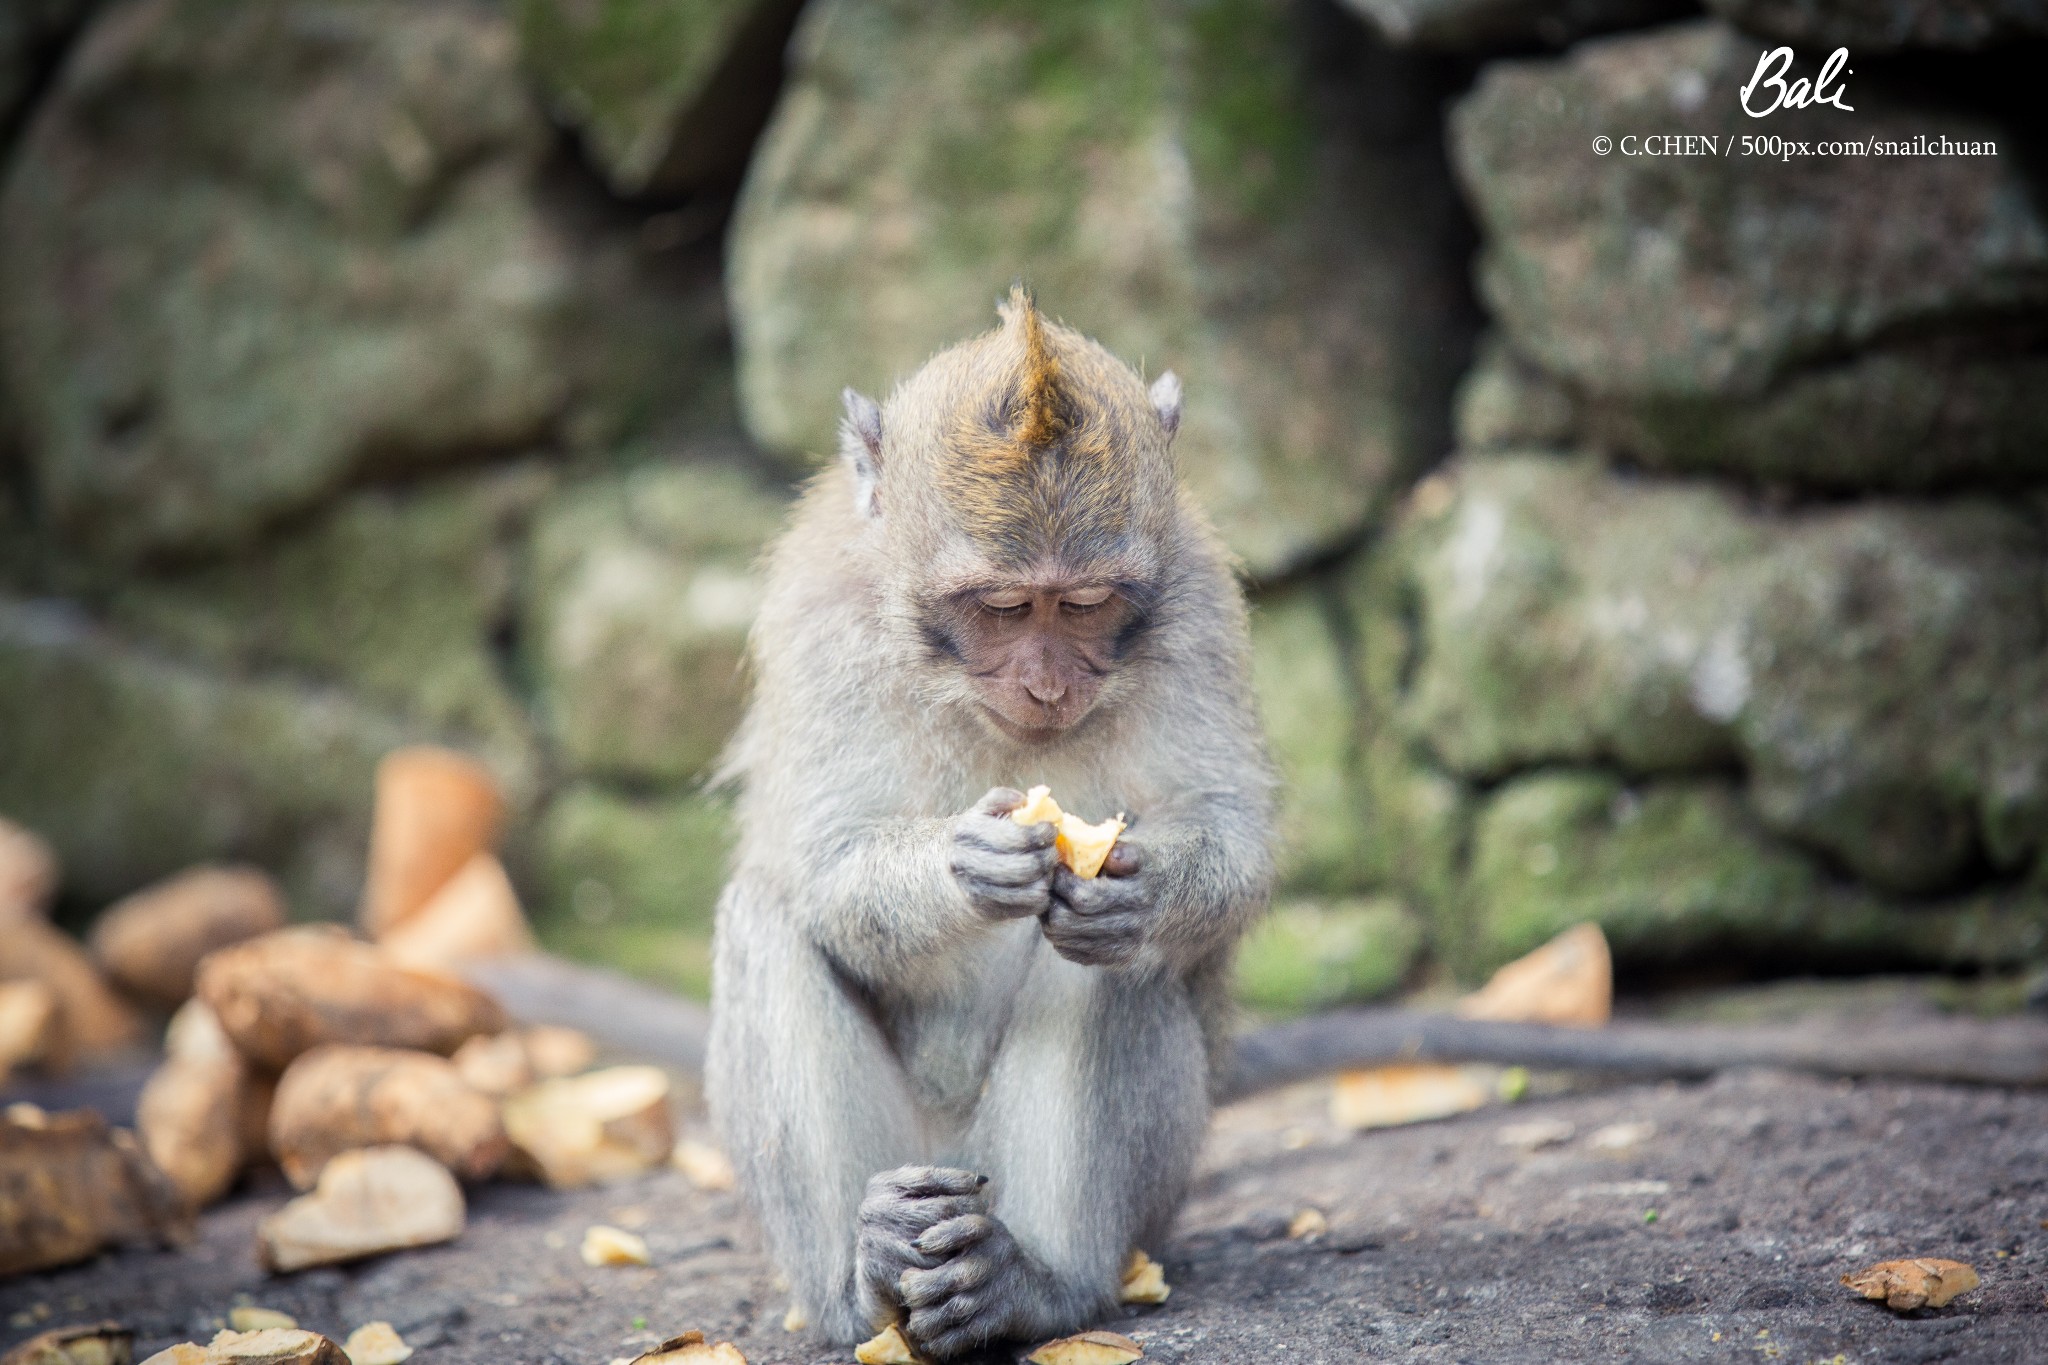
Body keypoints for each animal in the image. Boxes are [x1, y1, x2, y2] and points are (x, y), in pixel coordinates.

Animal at [712, 286, 1269, 1358]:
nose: (1047, 683)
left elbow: (1235, 833)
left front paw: (1144, 895)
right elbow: (825, 865)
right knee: (765, 915)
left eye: (1084, 603)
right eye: (1005, 607)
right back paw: (868, 1279)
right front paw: (965, 866)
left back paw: (1032, 1284)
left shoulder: (1198, 605)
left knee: (1104, 967)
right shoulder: (822, 617)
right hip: (915, 1158)